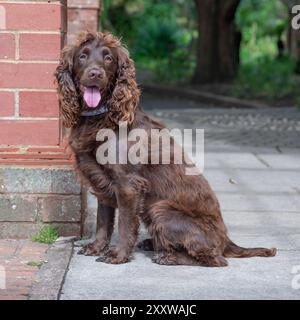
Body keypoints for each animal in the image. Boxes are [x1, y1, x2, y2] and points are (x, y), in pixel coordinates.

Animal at [54, 32, 276, 266]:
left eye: (108, 58)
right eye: (83, 56)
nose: (95, 74)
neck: (101, 117)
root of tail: (227, 241)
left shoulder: (127, 183)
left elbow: (124, 223)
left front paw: (118, 255)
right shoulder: (101, 180)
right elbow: (103, 220)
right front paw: (96, 247)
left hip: (160, 209)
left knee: (214, 259)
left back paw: (167, 256)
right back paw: (152, 244)